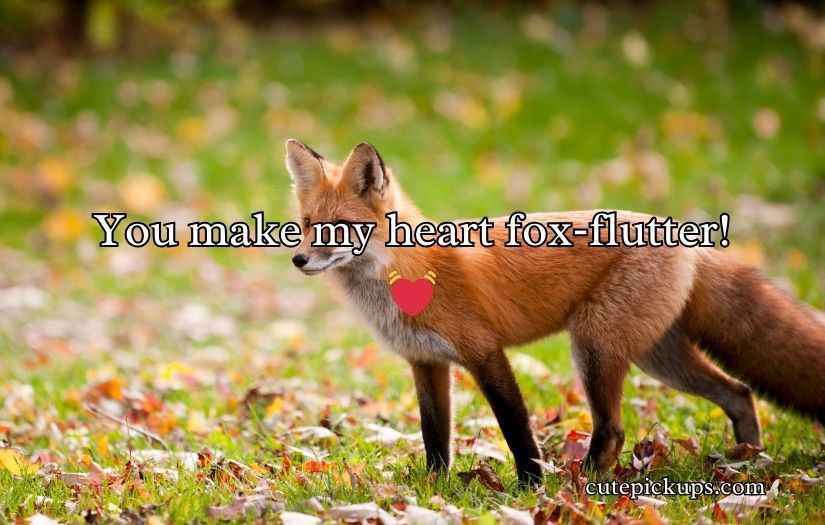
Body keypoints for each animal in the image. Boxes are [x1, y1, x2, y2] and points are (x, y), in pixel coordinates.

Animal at [284, 139, 825, 486]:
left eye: (337, 228)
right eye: (307, 224)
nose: (299, 260)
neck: (406, 271)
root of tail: (679, 232)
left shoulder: (484, 352)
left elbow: (515, 426)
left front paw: (529, 485)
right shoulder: (427, 363)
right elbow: (434, 435)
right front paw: (435, 487)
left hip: (594, 346)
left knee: (614, 429)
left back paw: (579, 483)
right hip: (658, 358)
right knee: (739, 393)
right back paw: (746, 458)